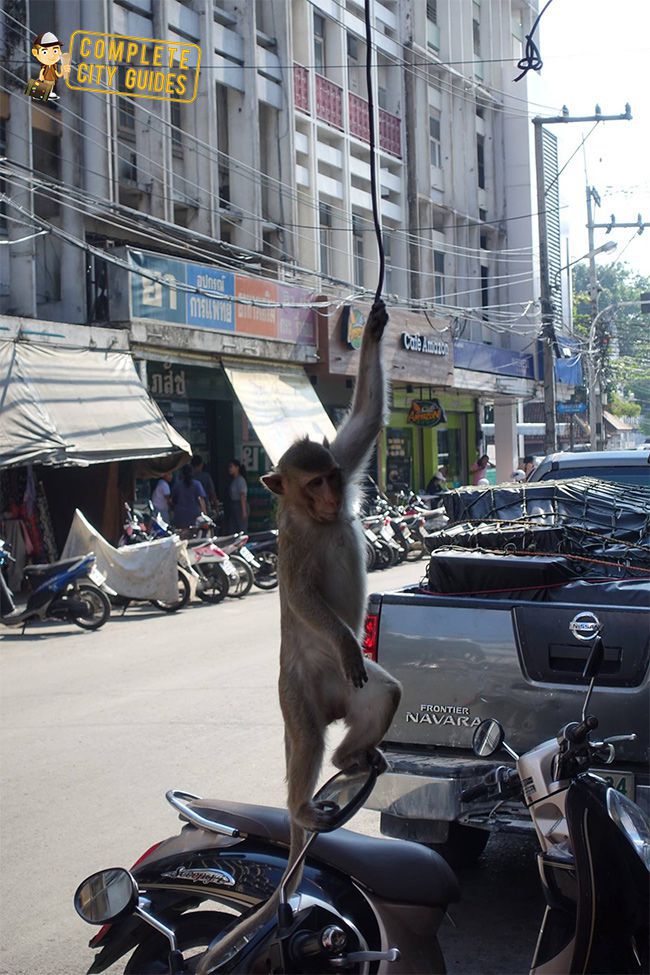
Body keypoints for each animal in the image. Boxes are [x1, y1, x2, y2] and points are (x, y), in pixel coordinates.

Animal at [196, 299, 401, 975]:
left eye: (334, 476)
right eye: (313, 484)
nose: (335, 495)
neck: (318, 520)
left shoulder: (346, 454)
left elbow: (366, 419)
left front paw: (374, 326)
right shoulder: (291, 549)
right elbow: (307, 601)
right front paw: (344, 637)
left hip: (354, 693)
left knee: (381, 697)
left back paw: (349, 758)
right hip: (301, 691)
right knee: (307, 738)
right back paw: (304, 803)